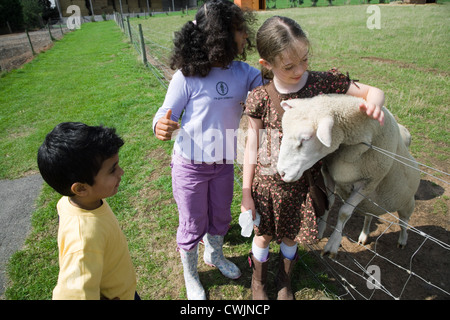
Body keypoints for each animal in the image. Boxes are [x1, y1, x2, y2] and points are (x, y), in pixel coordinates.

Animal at [278, 94, 422, 258]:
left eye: (305, 139)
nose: (281, 172)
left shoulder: (370, 182)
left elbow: (344, 212)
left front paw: (332, 244)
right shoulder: (329, 172)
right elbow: (329, 203)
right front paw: (320, 230)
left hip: (407, 202)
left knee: (403, 222)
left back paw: (403, 240)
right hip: (370, 205)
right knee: (369, 216)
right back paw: (364, 235)